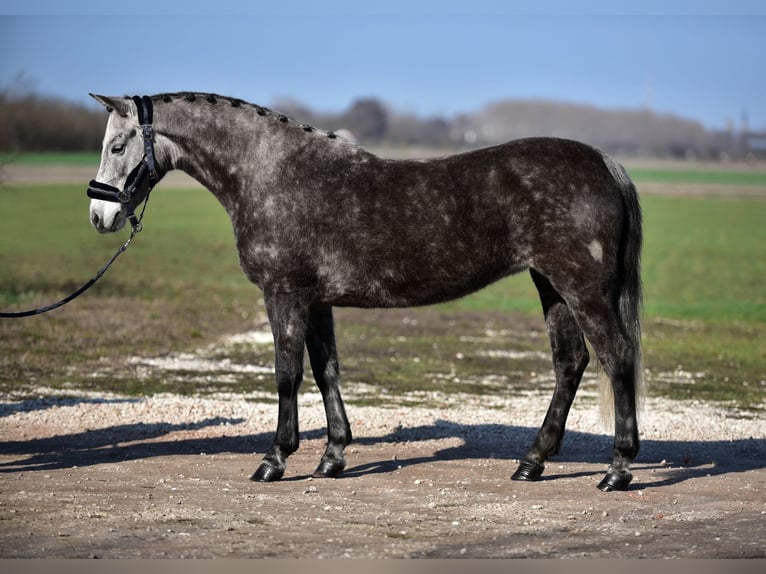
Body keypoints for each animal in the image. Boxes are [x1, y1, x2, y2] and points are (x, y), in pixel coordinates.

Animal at [87, 92, 643, 492]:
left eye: (117, 147)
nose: (99, 215)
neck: (270, 173)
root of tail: (604, 163)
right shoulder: (316, 301)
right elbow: (325, 369)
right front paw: (333, 457)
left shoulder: (284, 294)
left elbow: (287, 373)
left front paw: (275, 459)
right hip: (551, 286)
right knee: (570, 362)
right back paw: (532, 462)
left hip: (580, 288)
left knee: (616, 357)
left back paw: (617, 469)